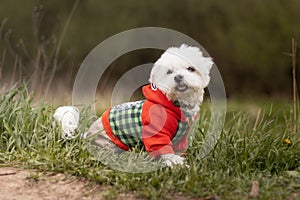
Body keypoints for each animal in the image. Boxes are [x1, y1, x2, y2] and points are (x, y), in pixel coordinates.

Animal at [54, 43, 213, 167]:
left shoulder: (181, 139)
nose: (178, 77)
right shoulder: (157, 134)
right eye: (169, 72)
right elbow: (165, 151)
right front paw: (176, 164)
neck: (174, 104)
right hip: (108, 143)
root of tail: (86, 135)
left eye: (191, 69)